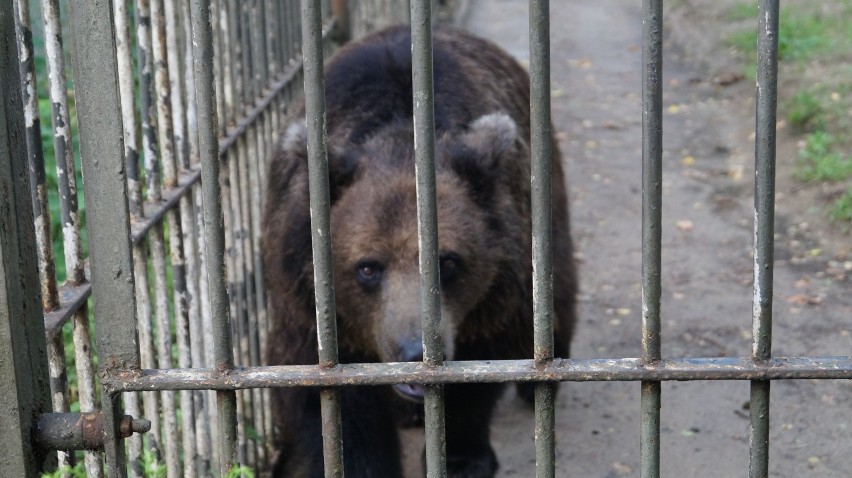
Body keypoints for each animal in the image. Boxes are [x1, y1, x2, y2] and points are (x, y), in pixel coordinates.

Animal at [262, 26, 576, 478]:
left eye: (449, 261)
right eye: (368, 267)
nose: (416, 352)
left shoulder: (493, 290)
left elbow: (476, 369)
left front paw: (461, 458)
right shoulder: (304, 303)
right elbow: (337, 402)